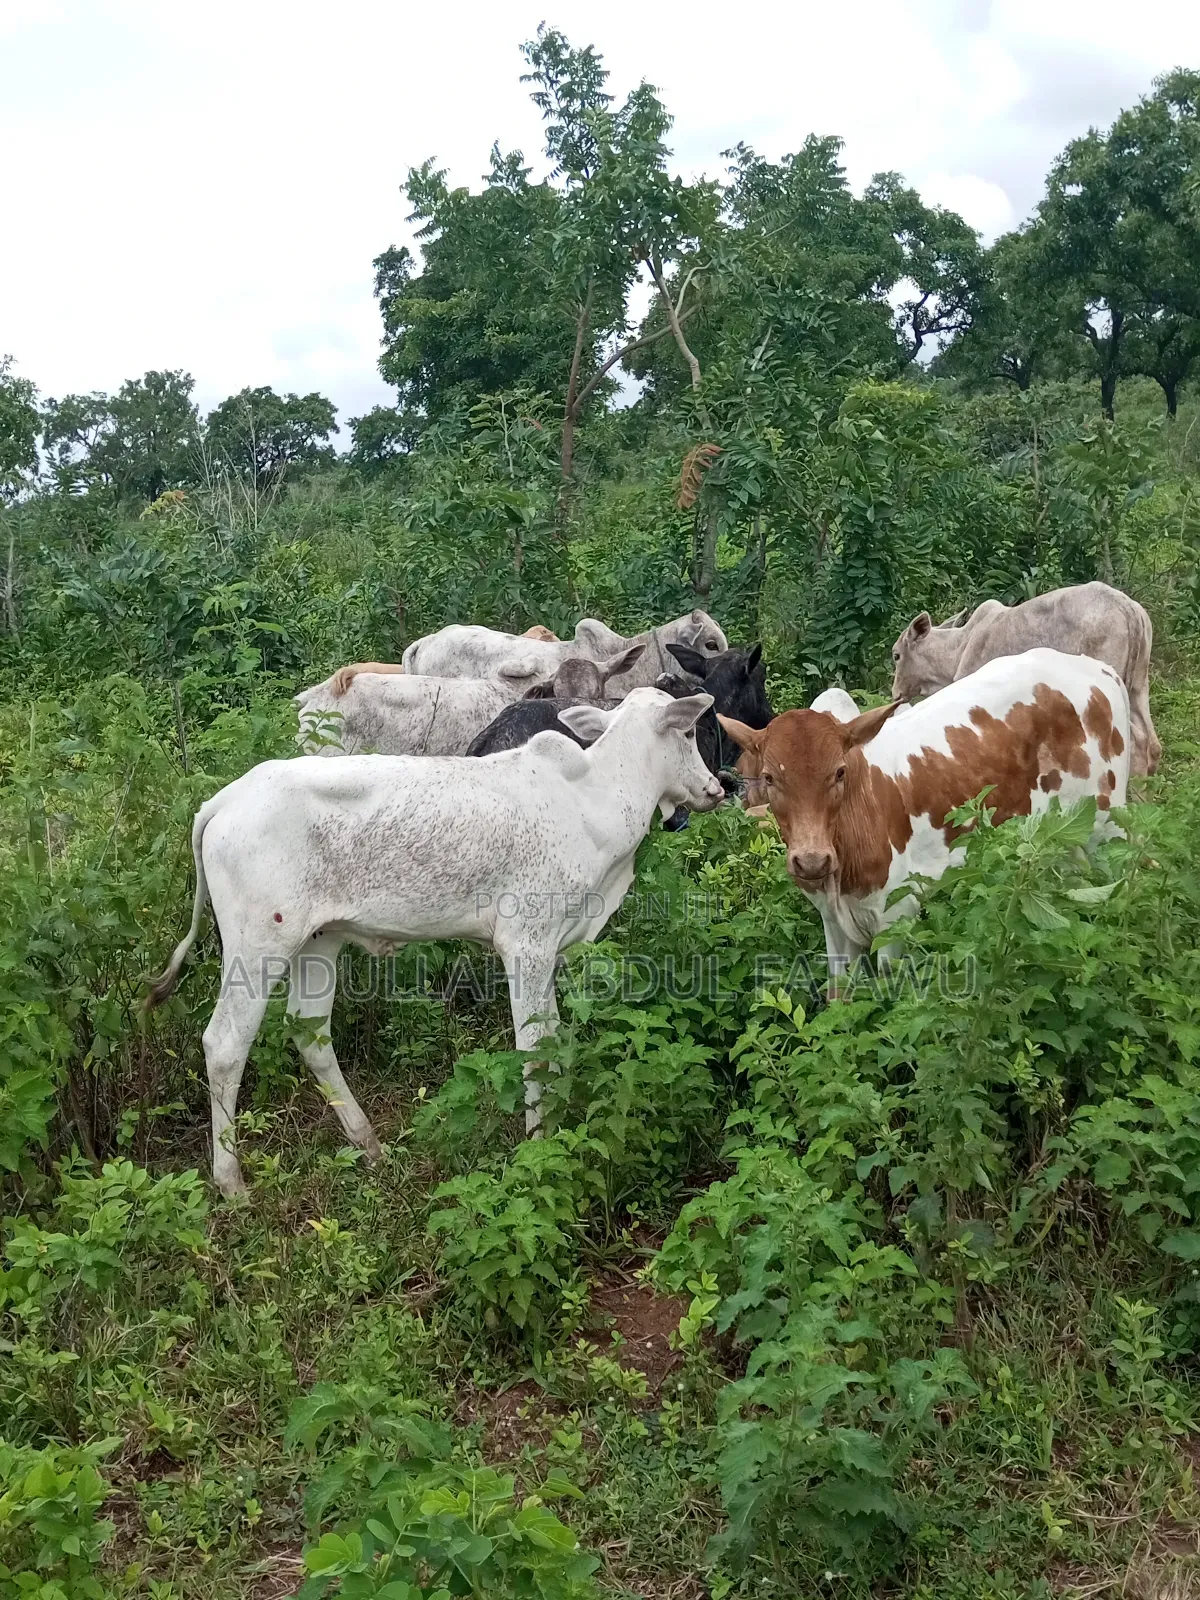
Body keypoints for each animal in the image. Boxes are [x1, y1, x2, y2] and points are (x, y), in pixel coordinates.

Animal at [145, 687, 724, 1196]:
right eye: (689, 730)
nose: (716, 788)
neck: (596, 801)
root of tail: (225, 798)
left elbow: (558, 1037)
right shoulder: (527, 943)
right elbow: (535, 1047)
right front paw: (540, 1144)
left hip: (319, 940)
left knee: (309, 1032)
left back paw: (369, 1144)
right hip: (258, 941)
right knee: (225, 1044)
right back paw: (231, 1181)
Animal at [718, 649, 1130, 982]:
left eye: (839, 772)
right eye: (769, 778)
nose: (811, 860)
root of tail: (1095, 667)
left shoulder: (896, 915)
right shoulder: (832, 922)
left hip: (1108, 829)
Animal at [890, 582, 1159, 775]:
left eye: (896, 655)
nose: (896, 693)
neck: (958, 650)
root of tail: (1129, 609)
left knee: (1135, 740)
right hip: (1138, 685)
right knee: (1153, 744)